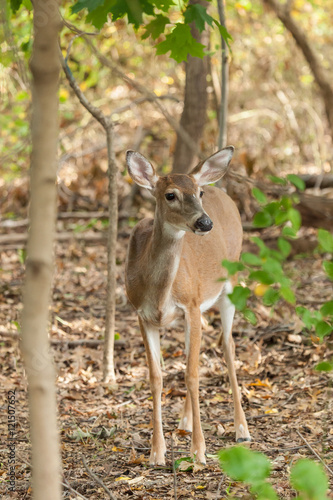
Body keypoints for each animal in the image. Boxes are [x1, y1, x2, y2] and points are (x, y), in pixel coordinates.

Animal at [124, 146, 249, 466]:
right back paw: (185, 422)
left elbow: (191, 375)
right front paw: (157, 452)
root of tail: (222, 190)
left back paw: (241, 429)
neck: (159, 293)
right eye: (170, 195)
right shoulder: (142, 314)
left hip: (230, 282)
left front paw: (199, 451)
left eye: (198, 192)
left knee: (227, 344)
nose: (205, 223)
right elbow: (156, 377)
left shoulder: (190, 304)